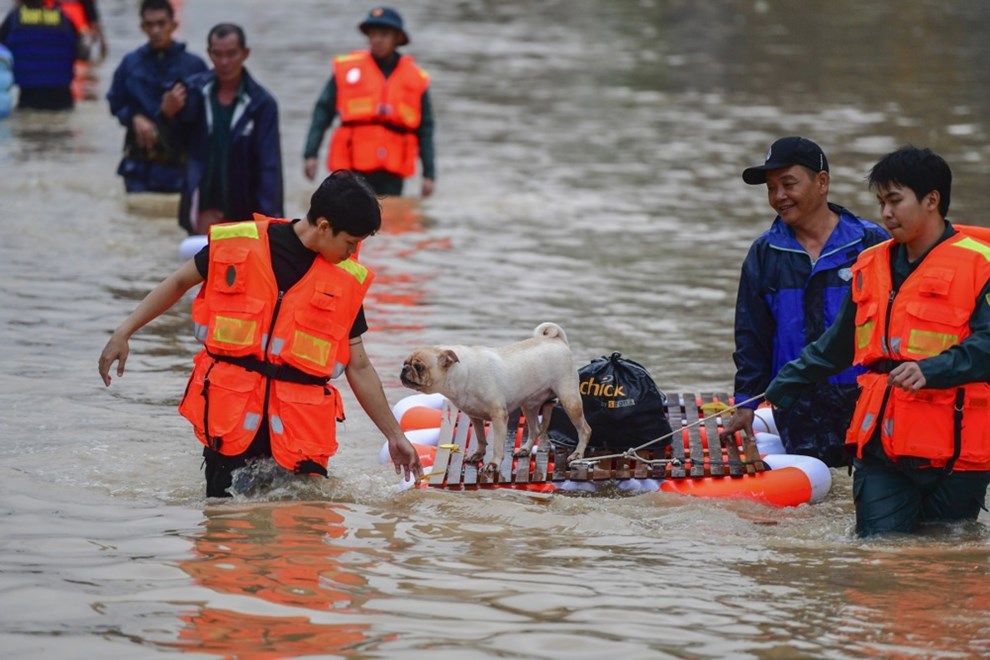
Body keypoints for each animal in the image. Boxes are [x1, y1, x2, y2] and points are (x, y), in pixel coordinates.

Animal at [400, 322, 593, 474]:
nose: (404, 369)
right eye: (405, 363)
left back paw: (577, 453)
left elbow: (498, 445)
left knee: (584, 429)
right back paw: (525, 449)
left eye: (419, 367)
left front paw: (493, 464)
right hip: (528, 406)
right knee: (535, 429)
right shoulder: (475, 417)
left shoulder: (499, 416)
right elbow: (480, 438)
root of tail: (557, 341)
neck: (461, 373)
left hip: (569, 401)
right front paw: (478, 454)